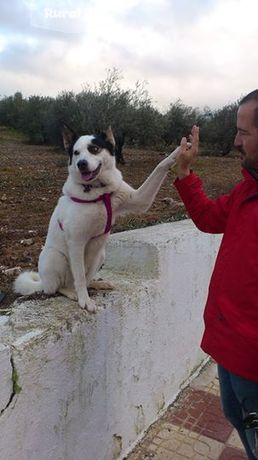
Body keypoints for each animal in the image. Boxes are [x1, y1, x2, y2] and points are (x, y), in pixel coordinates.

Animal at [13, 126, 181, 312]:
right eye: (76, 153)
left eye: (94, 148)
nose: (81, 164)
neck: (98, 191)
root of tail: (42, 282)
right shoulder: (76, 242)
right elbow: (79, 276)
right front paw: (84, 300)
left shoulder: (140, 199)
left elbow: (160, 166)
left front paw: (180, 150)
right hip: (55, 257)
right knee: (59, 288)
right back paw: (72, 293)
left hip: (100, 255)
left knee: (86, 280)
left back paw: (97, 284)